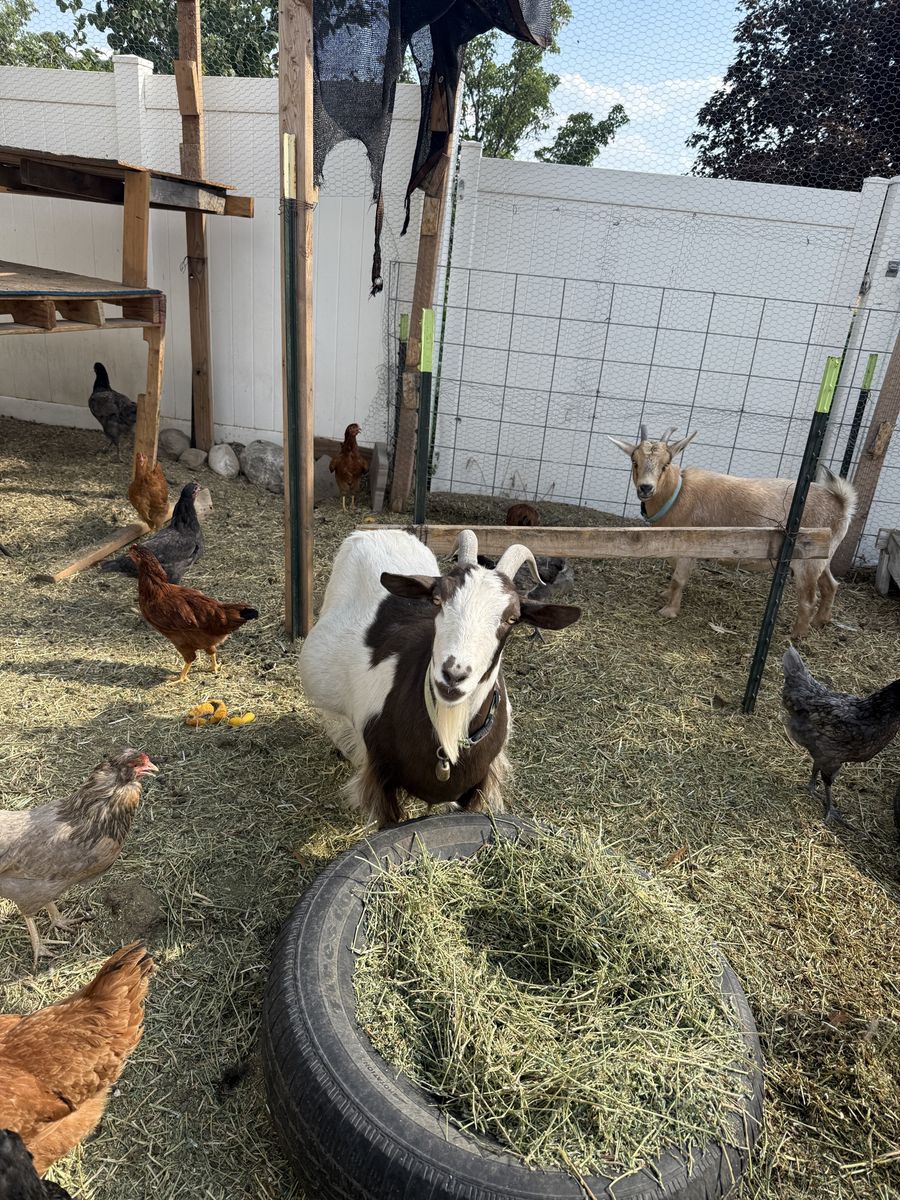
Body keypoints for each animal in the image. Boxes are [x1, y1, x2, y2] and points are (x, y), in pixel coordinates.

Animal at [298, 528, 581, 827]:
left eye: (512, 618)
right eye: (438, 600)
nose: (454, 675)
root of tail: (375, 532)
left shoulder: (478, 785)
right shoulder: (380, 778)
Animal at [608, 425, 856, 638]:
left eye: (665, 464)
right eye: (634, 461)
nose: (646, 488)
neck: (676, 494)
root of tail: (840, 502)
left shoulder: (691, 545)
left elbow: (679, 578)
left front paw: (669, 611)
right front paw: (666, 596)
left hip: (807, 558)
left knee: (808, 599)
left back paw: (795, 635)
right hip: (822, 556)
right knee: (831, 585)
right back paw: (820, 622)